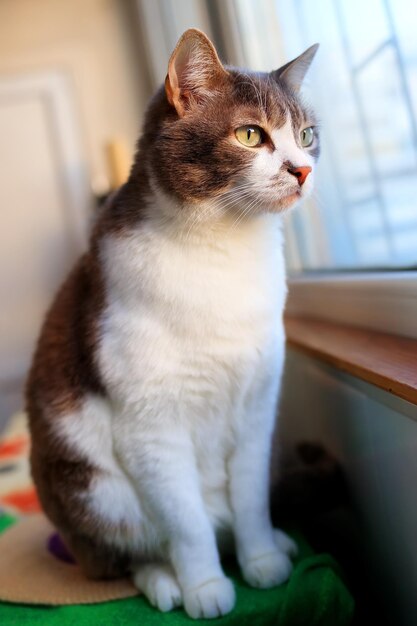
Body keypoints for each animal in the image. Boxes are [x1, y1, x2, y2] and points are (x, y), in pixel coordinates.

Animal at [26, 29, 318, 620]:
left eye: (306, 135)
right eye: (250, 135)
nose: (302, 169)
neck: (225, 252)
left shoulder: (257, 406)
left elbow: (251, 497)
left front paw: (261, 562)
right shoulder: (149, 424)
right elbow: (185, 524)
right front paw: (206, 587)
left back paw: (275, 544)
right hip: (92, 492)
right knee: (130, 556)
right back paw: (166, 583)